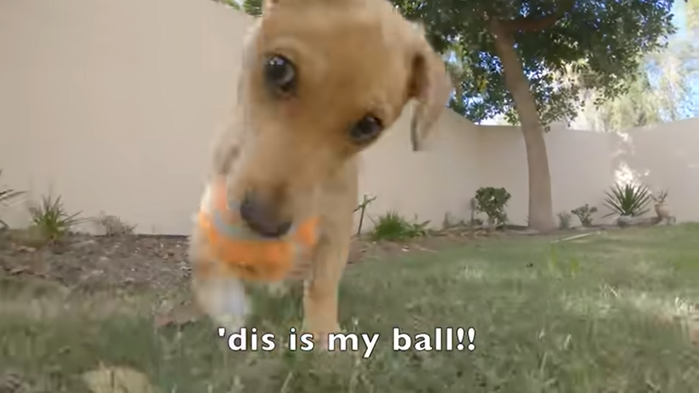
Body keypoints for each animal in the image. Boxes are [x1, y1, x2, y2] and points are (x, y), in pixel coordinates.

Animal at [191, 0, 454, 346]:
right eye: (278, 68)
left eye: (367, 126)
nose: (264, 222)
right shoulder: (214, 206)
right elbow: (207, 259)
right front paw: (228, 309)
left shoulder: (336, 225)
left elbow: (323, 283)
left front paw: (323, 336)